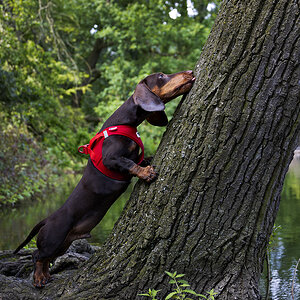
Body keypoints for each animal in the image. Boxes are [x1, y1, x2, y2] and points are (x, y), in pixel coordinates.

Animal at [14, 69, 196, 288]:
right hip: (53, 240)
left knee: (46, 258)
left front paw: (148, 162)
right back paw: (39, 278)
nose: (190, 72)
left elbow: (140, 159)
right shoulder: (112, 159)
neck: (124, 123)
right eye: (161, 76)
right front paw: (146, 173)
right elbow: (130, 164)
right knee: (37, 255)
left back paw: (46, 275)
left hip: (63, 245)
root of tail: (47, 218)